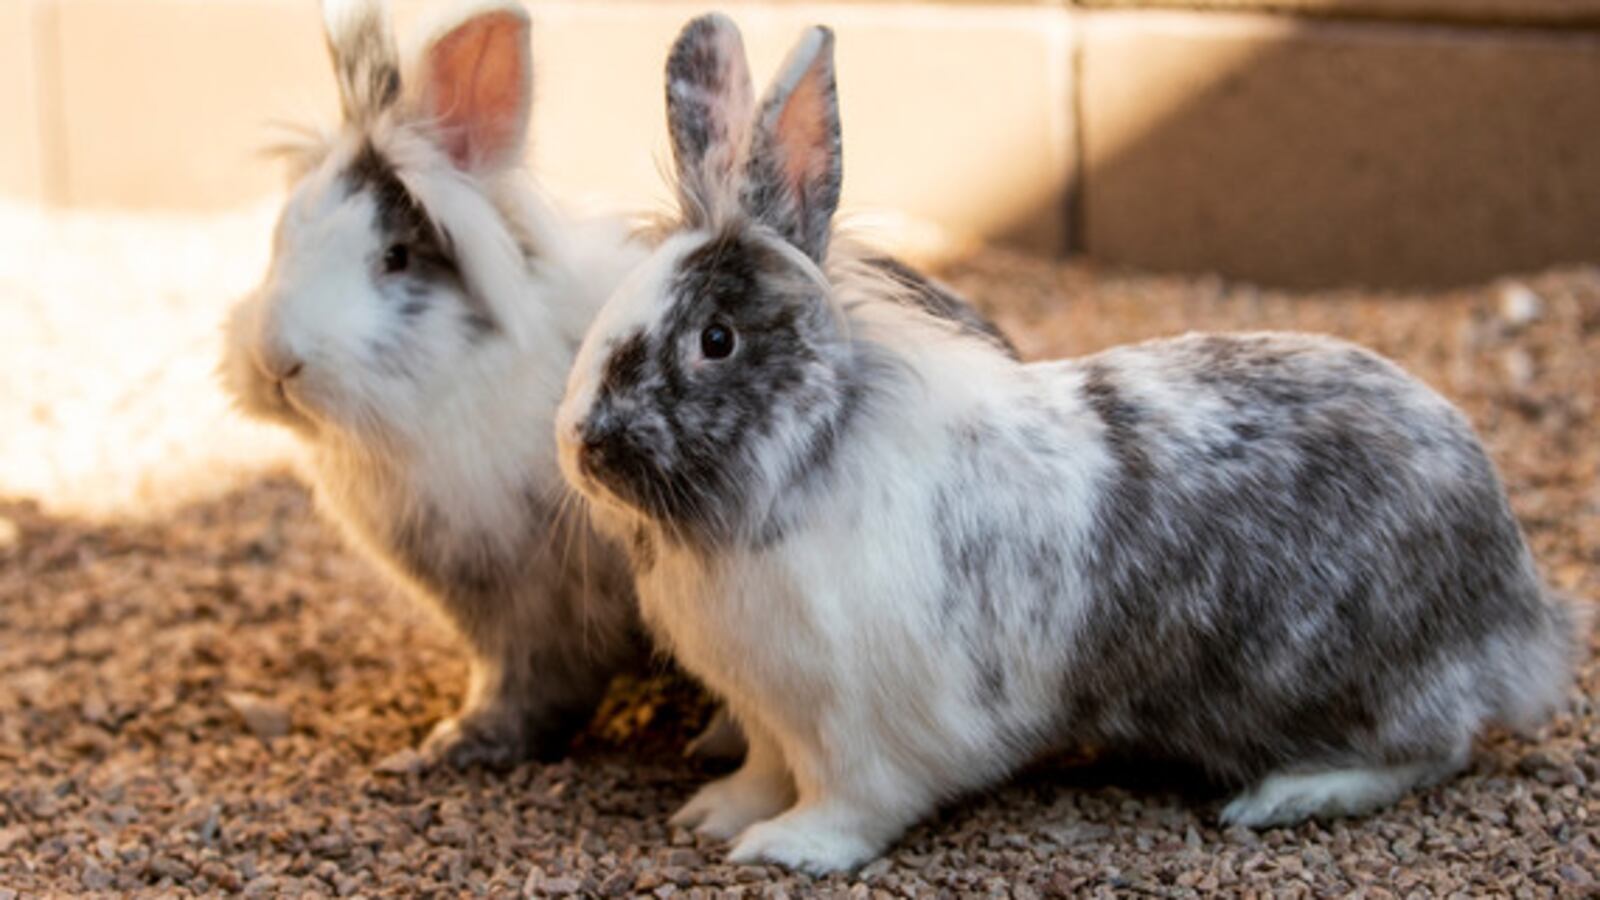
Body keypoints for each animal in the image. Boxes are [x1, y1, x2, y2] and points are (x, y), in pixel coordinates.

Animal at [552, 13, 1584, 873]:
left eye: (715, 340)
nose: (580, 444)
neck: (810, 461)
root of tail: (1515, 606)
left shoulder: (862, 728)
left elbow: (850, 803)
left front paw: (786, 849)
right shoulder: (770, 713)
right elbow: (763, 772)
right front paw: (715, 815)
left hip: (1354, 681)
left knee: (1435, 748)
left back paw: (1290, 792)